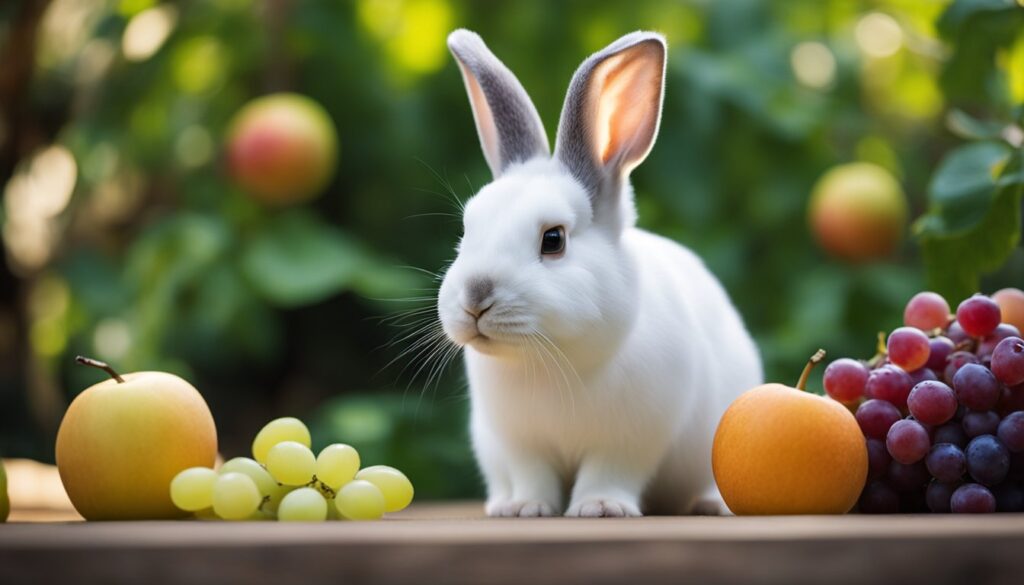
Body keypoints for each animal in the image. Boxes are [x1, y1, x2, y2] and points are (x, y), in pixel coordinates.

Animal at [436, 29, 763, 517]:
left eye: (553, 240)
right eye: (466, 229)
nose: (476, 297)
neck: (550, 360)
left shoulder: (630, 439)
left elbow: (609, 472)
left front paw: (601, 507)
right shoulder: (521, 443)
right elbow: (533, 475)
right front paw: (527, 508)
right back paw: (500, 503)